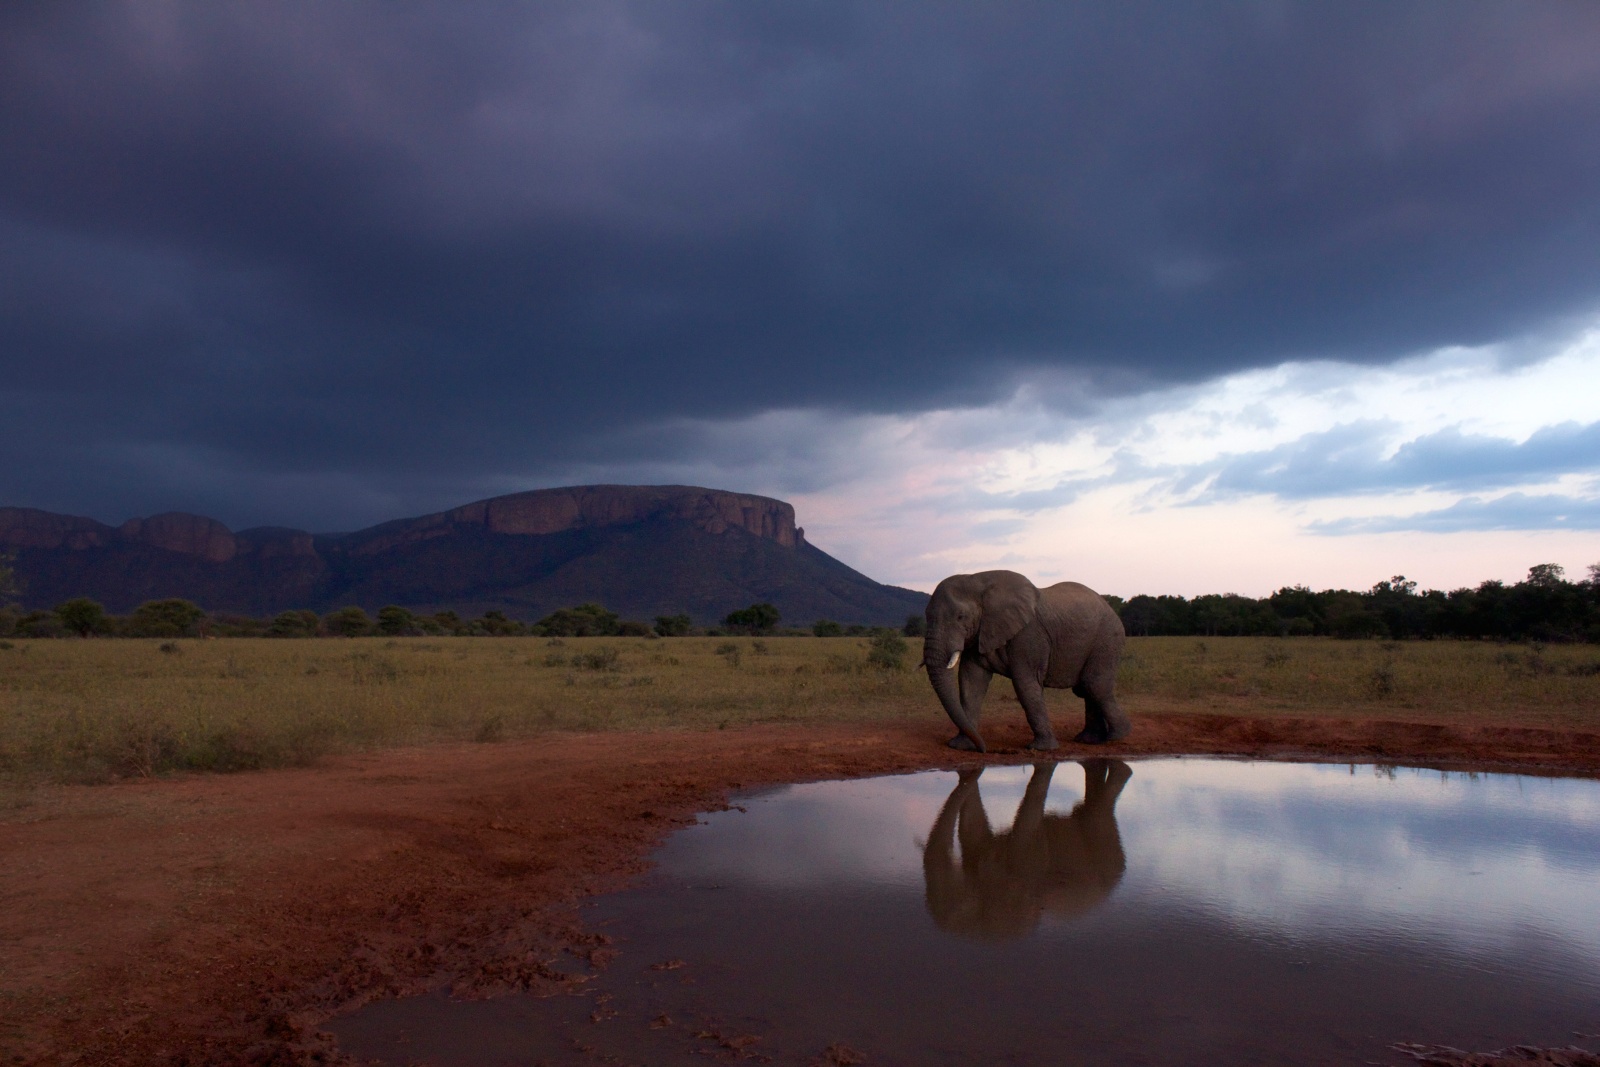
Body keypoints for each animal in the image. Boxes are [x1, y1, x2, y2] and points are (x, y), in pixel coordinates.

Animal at [921, 566, 1132, 751]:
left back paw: (1117, 737)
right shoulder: (980, 633)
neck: (978, 580)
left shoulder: (1029, 635)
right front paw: (961, 746)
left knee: (1094, 685)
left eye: (961, 616)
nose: (984, 749)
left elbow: (1025, 684)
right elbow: (971, 683)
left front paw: (1041, 749)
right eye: (926, 616)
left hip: (1107, 638)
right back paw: (1088, 740)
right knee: (1087, 688)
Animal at [921, 758, 1132, 940]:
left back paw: (1122, 771)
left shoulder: (1027, 866)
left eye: (962, 904)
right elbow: (973, 828)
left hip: (1103, 848)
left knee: (1096, 815)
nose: (968, 771)